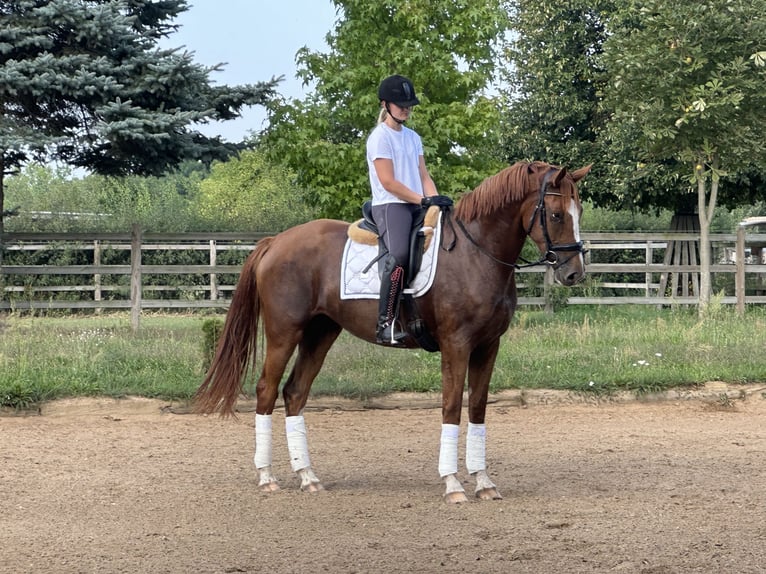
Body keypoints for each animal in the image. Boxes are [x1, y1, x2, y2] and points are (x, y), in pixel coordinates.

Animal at [195, 161, 592, 504]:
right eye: (556, 215)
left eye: (579, 212)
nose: (574, 273)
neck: (475, 253)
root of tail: (275, 242)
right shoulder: (457, 344)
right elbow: (451, 406)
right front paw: (452, 484)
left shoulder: (488, 345)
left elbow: (477, 408)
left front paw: (483, 482)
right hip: (284, 331)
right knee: (267, 389)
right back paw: (267, 477)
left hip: (321, 332)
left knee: (295, 392)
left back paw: (308, 476)